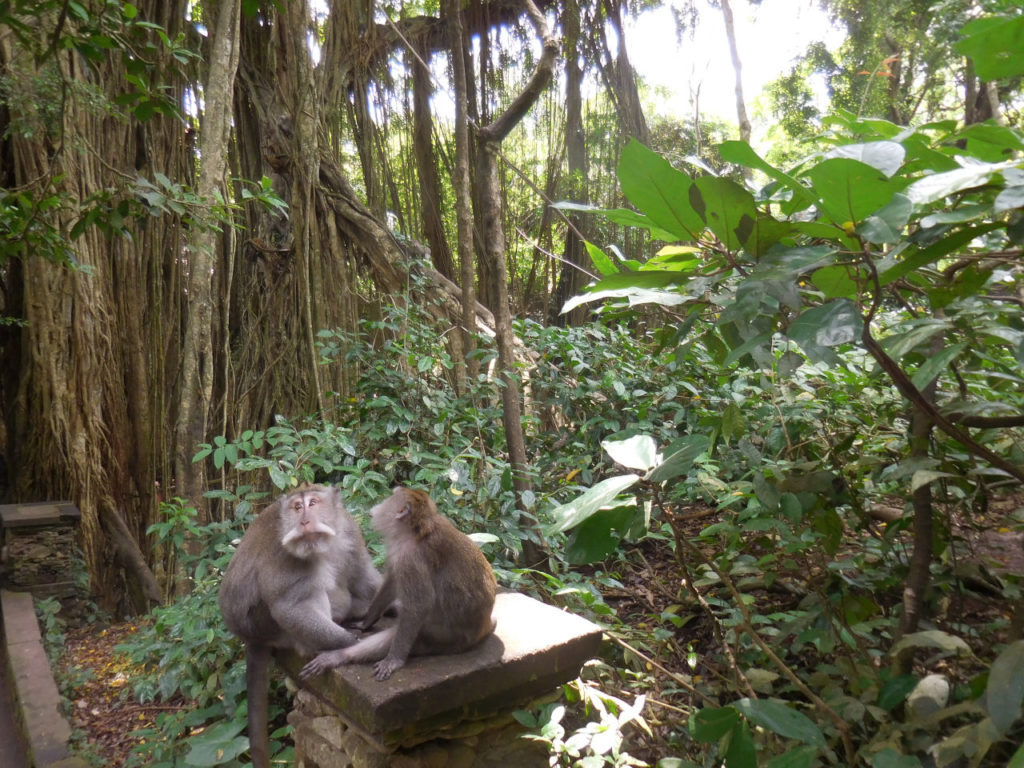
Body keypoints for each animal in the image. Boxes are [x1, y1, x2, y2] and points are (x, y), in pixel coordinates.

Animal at [221, 487, 385, 768]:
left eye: (313, 503)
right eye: (297, 507)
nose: (305, 521)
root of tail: (250, 637)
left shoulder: (350, 532)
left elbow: (364, 576)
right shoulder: (284, 555)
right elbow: (291, 606)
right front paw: (350, 644)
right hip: (262, 624)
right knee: (310, 592)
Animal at [299, 489, 495, 684]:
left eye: (392, 496)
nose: (381, 502)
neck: (414, 530)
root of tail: (484, 628)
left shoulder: (411, 558)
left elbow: (419, 605)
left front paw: (394, 661)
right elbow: (391, 583)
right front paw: (366, 622)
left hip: (448, 638)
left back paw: (341, 656)